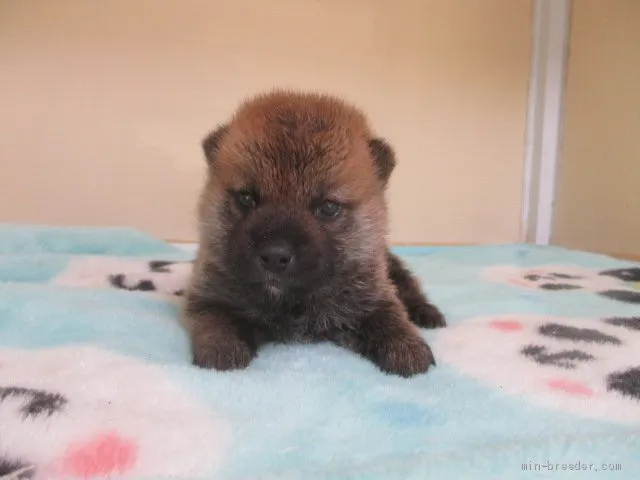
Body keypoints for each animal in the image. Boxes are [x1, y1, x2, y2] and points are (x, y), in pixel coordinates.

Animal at [181, 89, 444, 376]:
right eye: (247, 198)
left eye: (328, 207)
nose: (274, 255)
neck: (292, 302)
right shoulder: (209, 296)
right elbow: (216, 320)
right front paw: (223, 350)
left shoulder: (373, 296)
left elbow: (390, 318)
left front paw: (408, 348)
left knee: (409, 286)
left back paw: (427, 313)